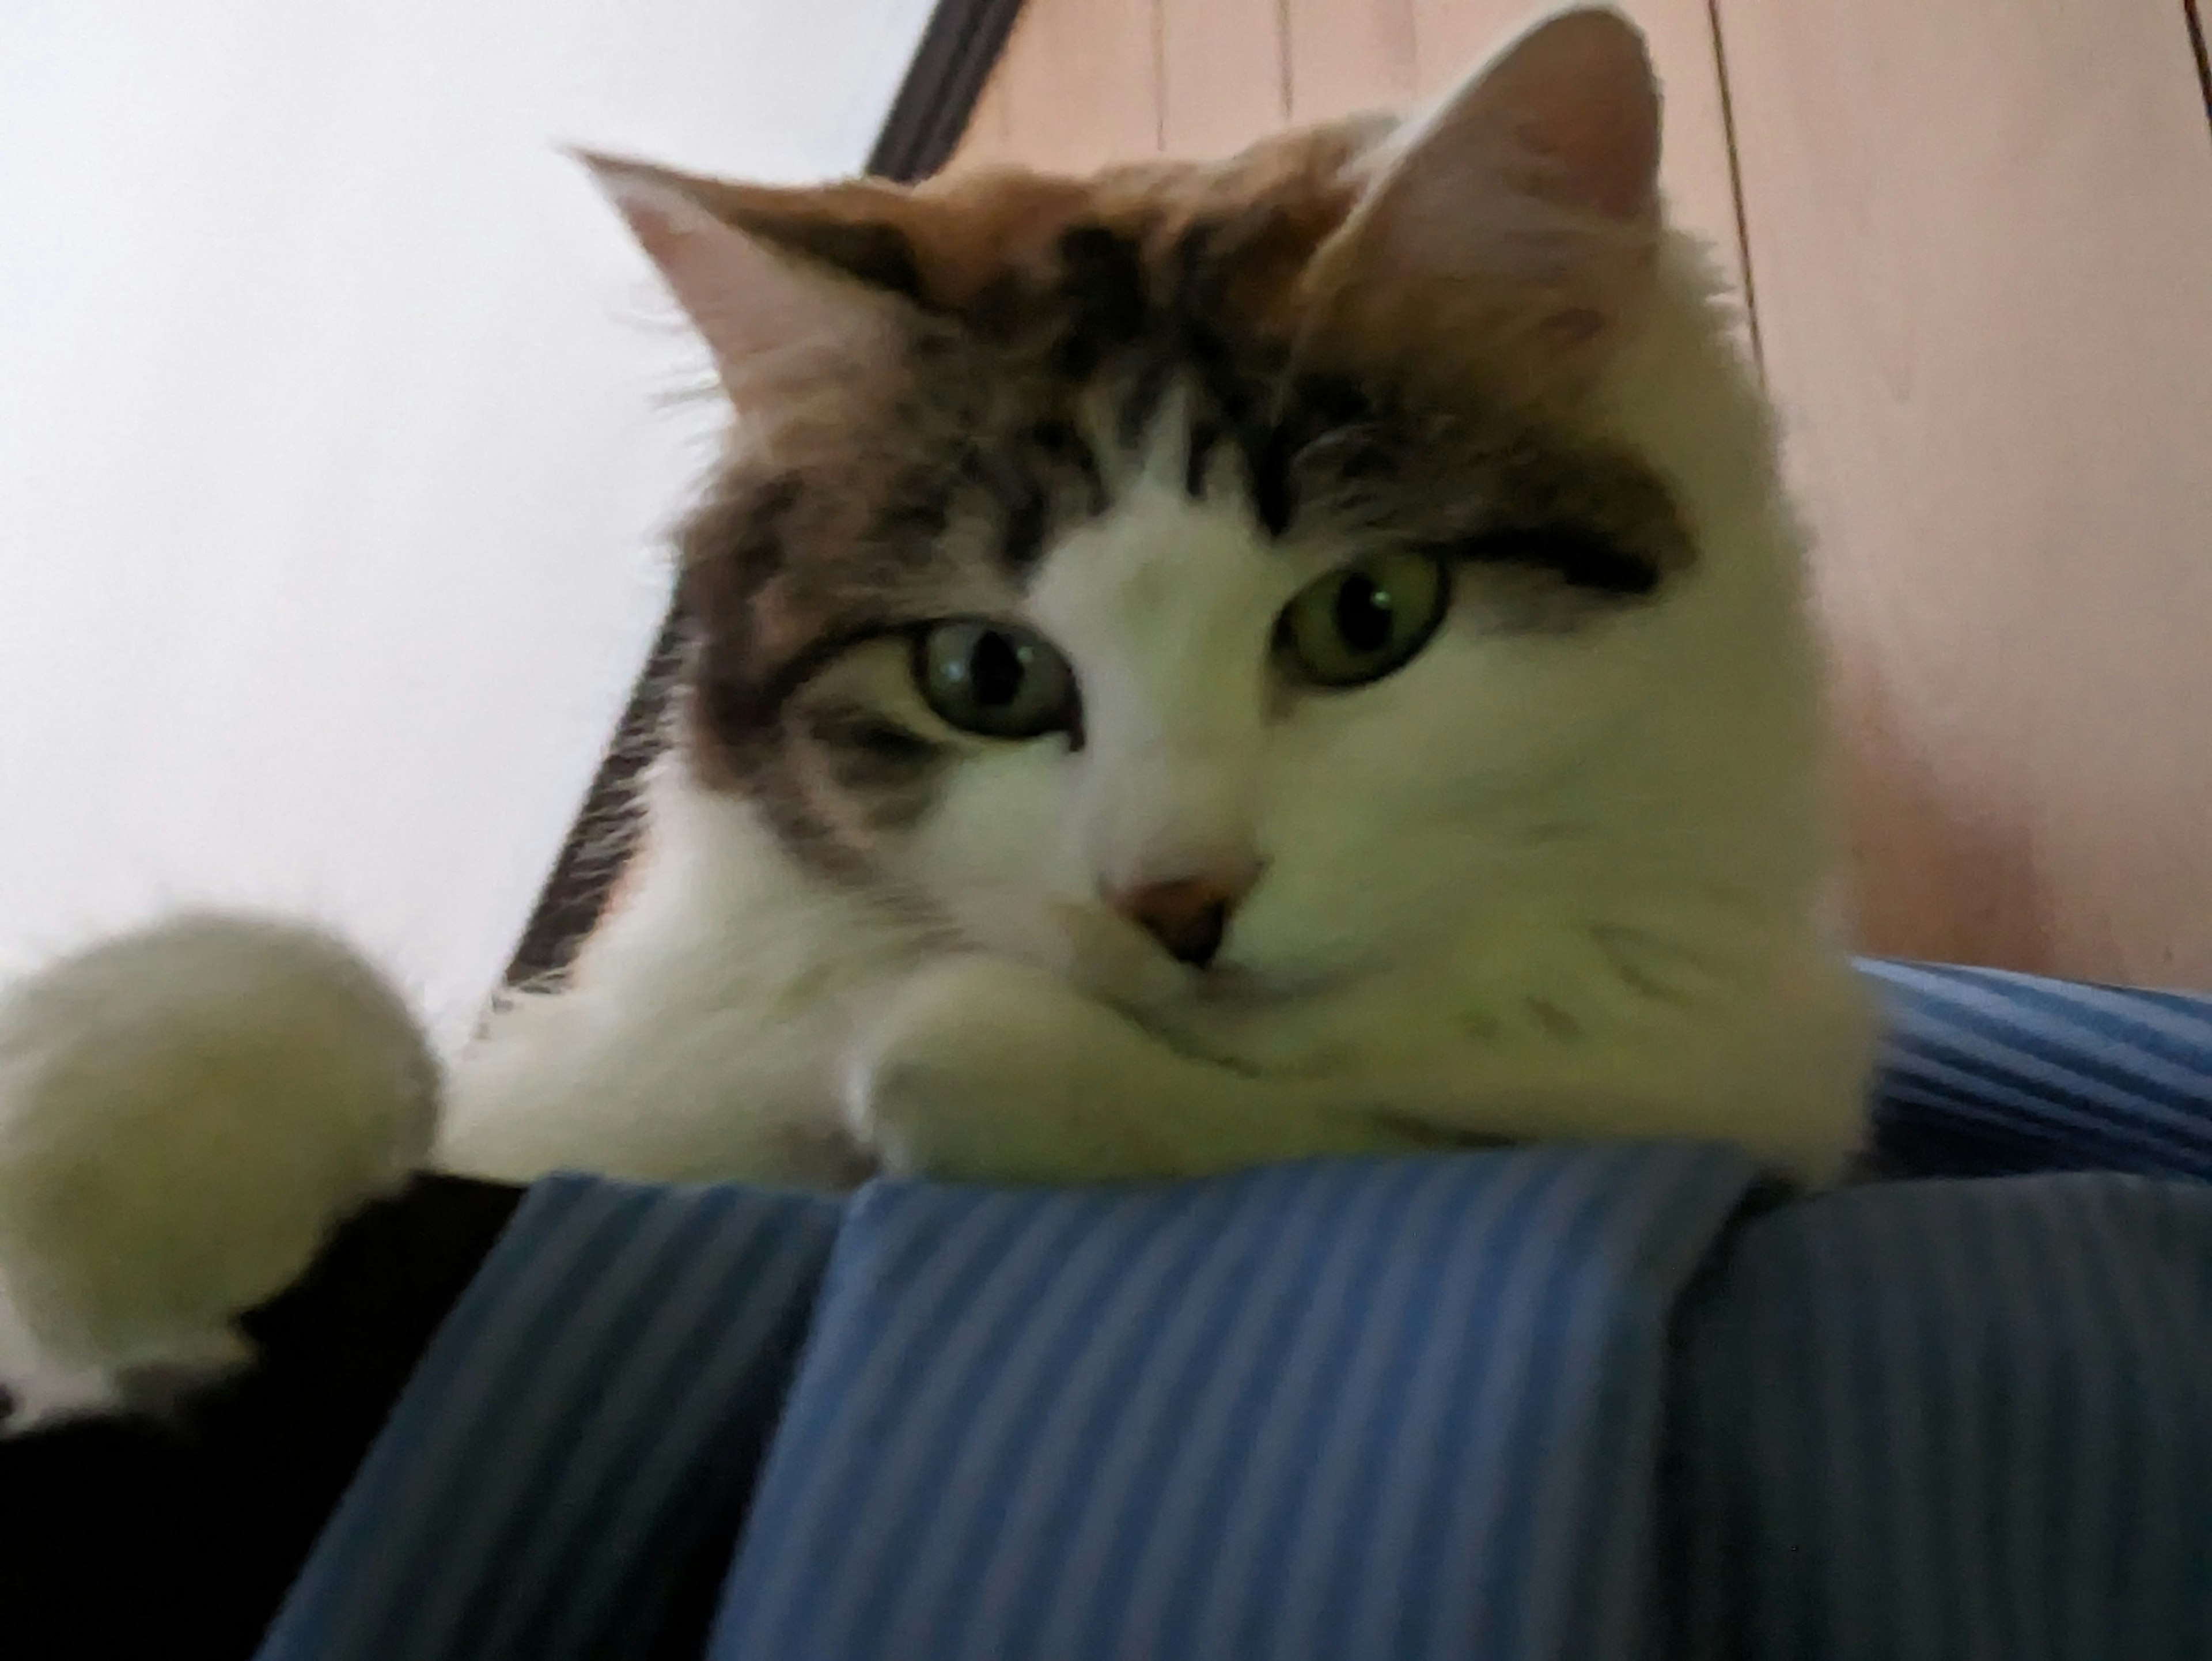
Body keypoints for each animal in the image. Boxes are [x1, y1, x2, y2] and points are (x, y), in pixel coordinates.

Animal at [0, 3, 1866, 1433]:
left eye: (1367, 618)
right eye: (984, 674)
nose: (1175, 901)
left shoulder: (1731, 1118)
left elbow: (1354, 1126)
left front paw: (959, 1059)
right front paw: (100, 1169)